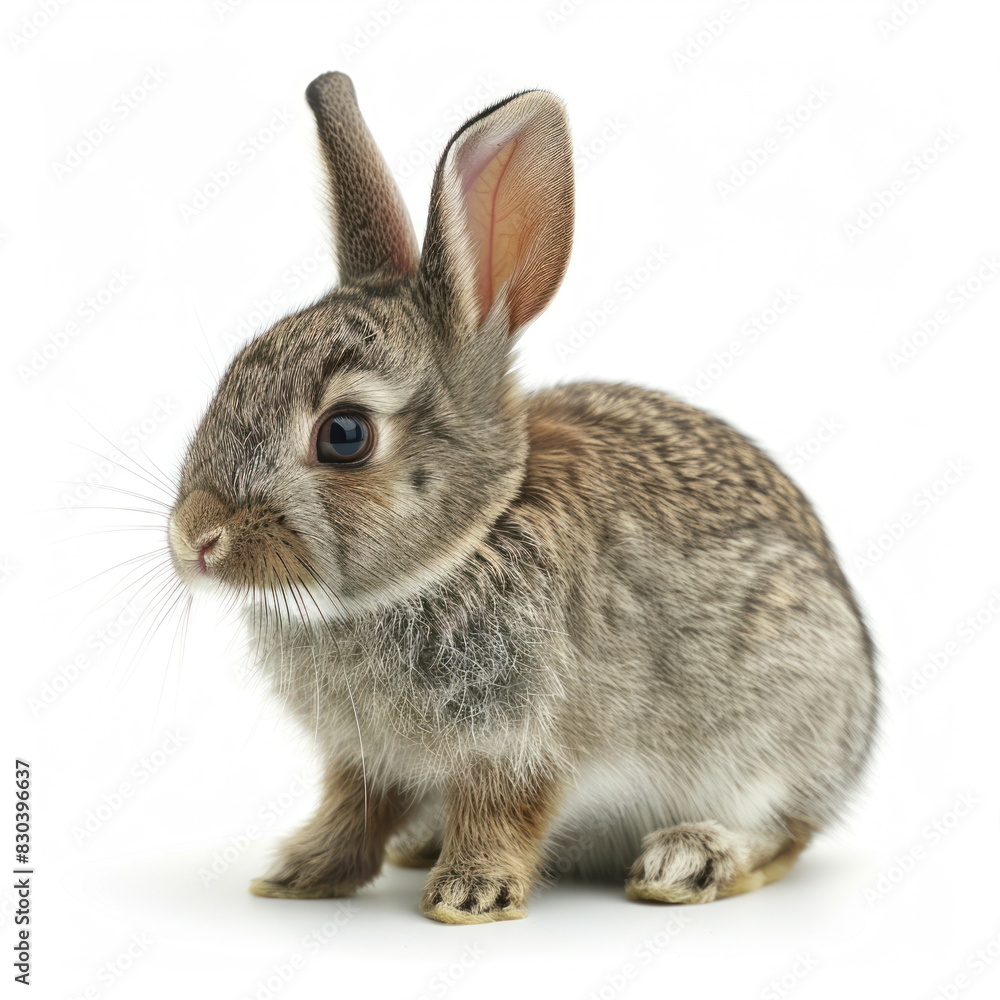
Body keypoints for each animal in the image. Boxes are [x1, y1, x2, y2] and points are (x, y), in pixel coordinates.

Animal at [167, 71, 878, 924]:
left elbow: (503, 810)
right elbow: (353, 811)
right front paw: (302, 873)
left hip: (775, 725)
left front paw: (469, 895)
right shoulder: (365, 757)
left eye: (344, 435)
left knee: (785, 830)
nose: (194, 539)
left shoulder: (521, 741)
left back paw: (687, 860)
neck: (466, 544)